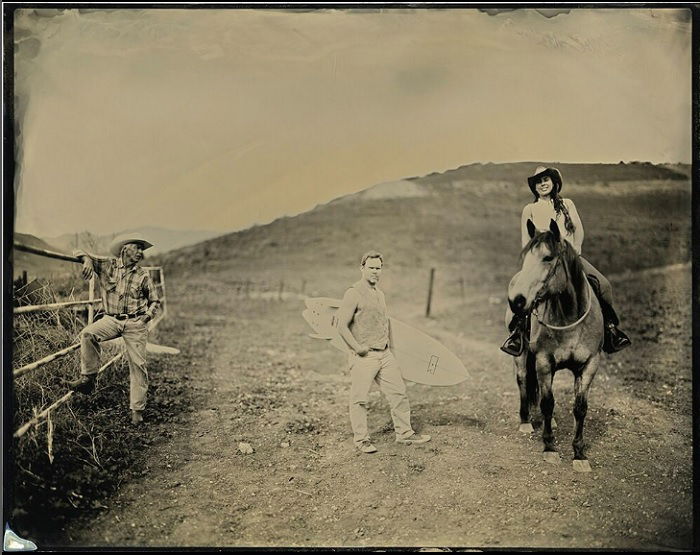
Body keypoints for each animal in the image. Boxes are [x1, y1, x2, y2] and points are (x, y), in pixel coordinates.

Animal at [504, 219, 608, 472]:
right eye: (525, 257)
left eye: (548, 258)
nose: (517, 301)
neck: (570, 316)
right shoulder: (543, 361)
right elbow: (547, 402)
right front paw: (550, 448)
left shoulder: (590, 364)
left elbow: (580, 407)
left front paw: (579, 454)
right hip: (522, 356)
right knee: (523, 381)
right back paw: (525, 422)